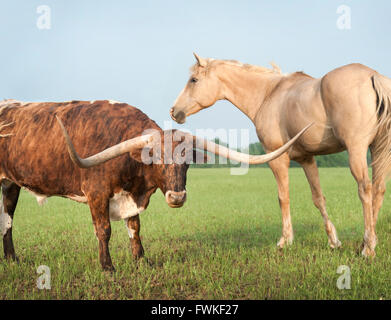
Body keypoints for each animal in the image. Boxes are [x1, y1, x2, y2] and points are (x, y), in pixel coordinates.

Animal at [0, 99, 310, 270]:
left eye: (188, 161)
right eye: (157, 159)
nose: (177, 197)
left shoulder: (129, 198)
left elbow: (134, 228)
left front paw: (141, 260)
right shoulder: (97, 193)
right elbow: (104, 230)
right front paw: (107, 267)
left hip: (10, 184)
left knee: (7, 220)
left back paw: (12, 260)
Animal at [171, 53, 391, 258]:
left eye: (194, 80)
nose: (174, 111)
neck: (268, 94)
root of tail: (373, 76)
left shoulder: (276, 158)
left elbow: (283, 197)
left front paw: (285, 240)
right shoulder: (307, 159)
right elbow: (318, 198)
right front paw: (333, 241)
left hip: (357, 150)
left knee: (365, 189)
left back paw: (368, 248)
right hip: (379, 149)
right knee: (379, 189)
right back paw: (368, 241)